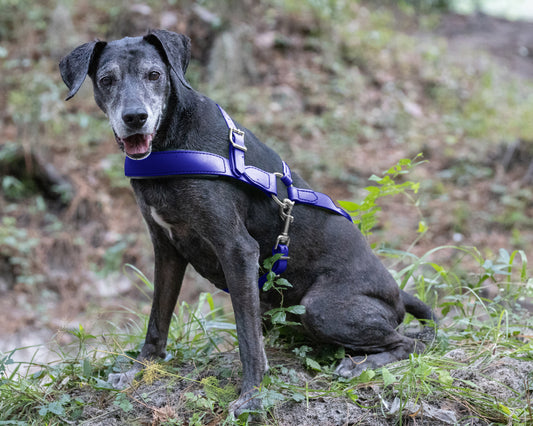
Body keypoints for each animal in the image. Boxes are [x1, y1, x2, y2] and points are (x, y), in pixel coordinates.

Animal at [59, 30, 432, 416]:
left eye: (154, 75)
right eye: (107, 79)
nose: (135, 117)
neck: (170, 142)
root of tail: (397, 294)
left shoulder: (237, 250)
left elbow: (247, 338)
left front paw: (251, 396)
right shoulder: (166, 249)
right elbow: (157, 319)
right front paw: (140, 368)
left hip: (322, 308)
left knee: (412, 343)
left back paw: (361, 364)